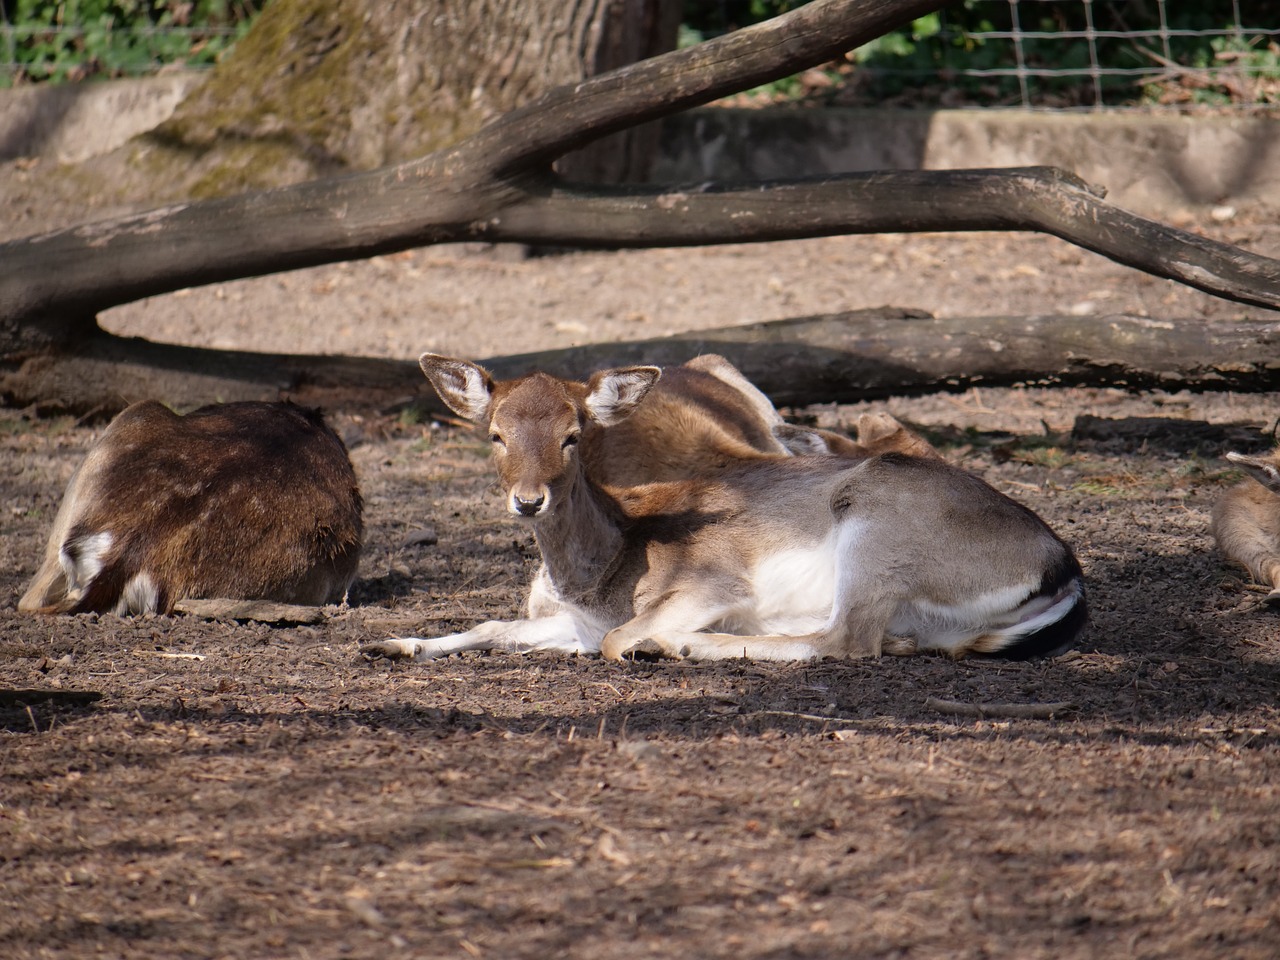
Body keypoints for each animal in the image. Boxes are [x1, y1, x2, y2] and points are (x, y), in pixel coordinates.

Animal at [363, 358, 1090, 665]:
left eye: (573, 433)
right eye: (494, 433)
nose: (528, 499)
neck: (602, 575)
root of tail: (1064, 570)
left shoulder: (712, 581)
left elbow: (618, 640)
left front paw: (657, 641)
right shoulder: (576, 623)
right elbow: (493, 625)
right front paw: (390, 642)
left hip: (879, 531)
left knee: (845, 640)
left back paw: (682, 645)